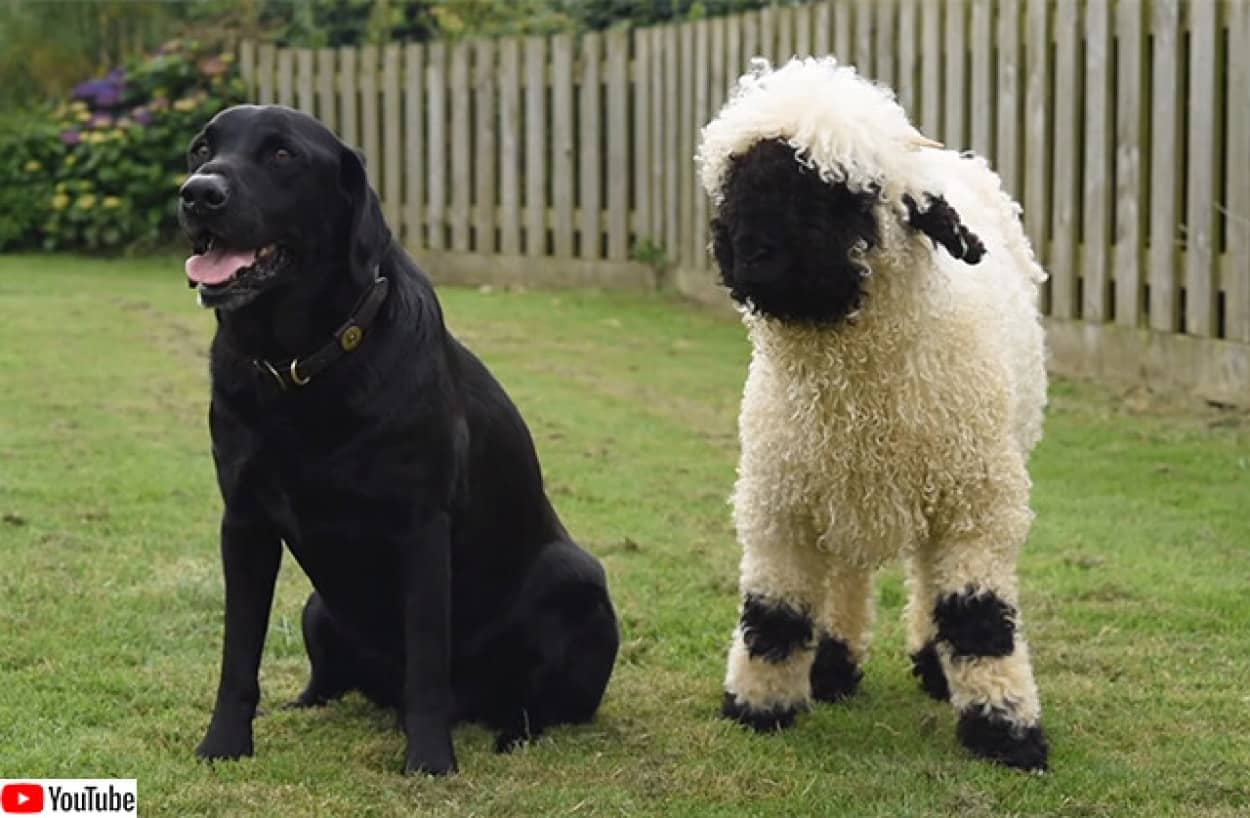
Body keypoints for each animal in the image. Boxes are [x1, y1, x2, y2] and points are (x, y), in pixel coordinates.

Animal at [178, 105, 617, 780]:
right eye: (203, 148)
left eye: (282, 154)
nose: (199, 193)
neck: (303, 365)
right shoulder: (244, 523)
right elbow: (238, 654)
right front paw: (223, 744)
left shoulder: (421, 527)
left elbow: (428, 663)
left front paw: (430, 761)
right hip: (318, 609)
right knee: (333, 680)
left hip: (576, 582)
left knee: (532, 702)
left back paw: (511, 732)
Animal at [700, 54, 1050, 770]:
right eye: (737, 182)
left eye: (843, 195)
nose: (753, 254)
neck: (859, 394)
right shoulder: (781, 504)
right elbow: (774, 614)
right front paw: (759, 708)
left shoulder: (976, 505)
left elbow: (978, 617)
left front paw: (1006, 732)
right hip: (839, 490)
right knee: (847, 573)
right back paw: (832, 664)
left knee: (927, 577)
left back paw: (934, 668)